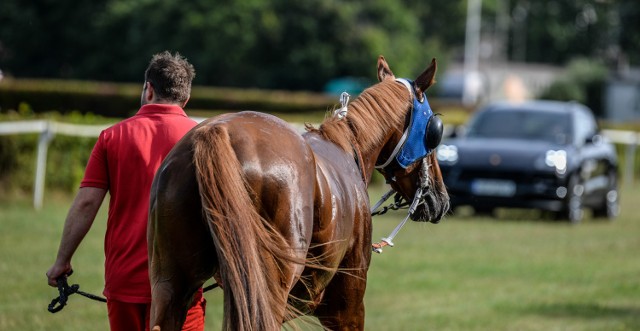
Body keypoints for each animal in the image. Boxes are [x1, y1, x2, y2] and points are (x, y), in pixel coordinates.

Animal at [149, 55, 450, 330]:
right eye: (435, 132)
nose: (441, 199)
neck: (346, 147)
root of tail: (218, 131)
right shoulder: (348, 304)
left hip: (172, 285)